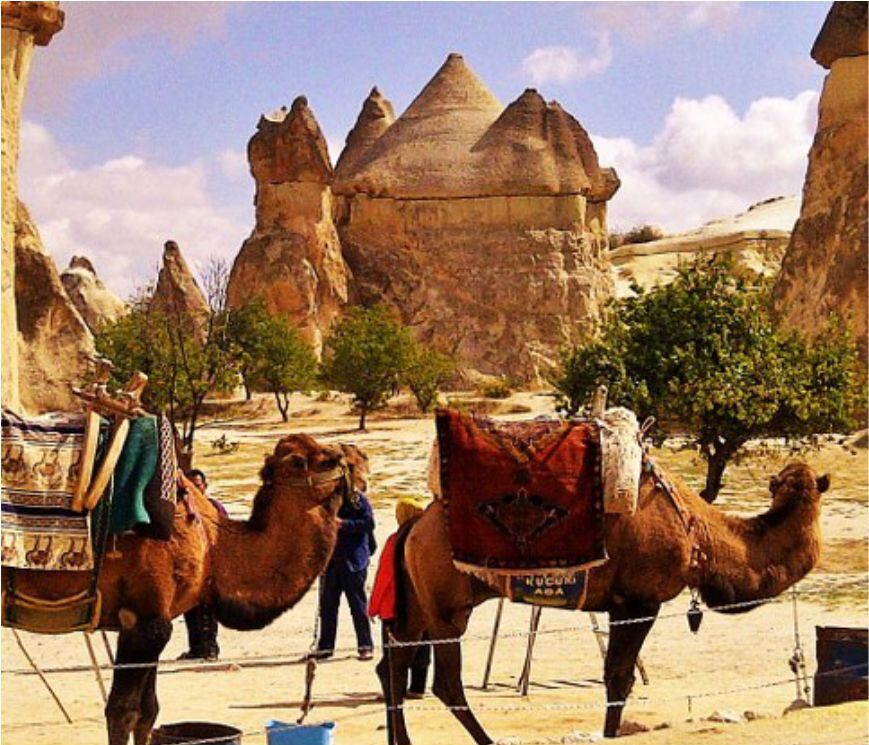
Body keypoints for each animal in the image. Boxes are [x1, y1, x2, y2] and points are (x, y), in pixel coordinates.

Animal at [2, 433, 368, 745]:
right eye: (323, 458)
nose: (359, 456)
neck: (211, 543)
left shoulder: (147, 620)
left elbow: (148, 713)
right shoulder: (145, 622)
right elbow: (122, 713)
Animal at [378, 459, 828, 742]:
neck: (699, 535)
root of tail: (414, 524)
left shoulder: (621, 606)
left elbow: (617, 678)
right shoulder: (638, 603)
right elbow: (619, 679)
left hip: (417, 602)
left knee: (392, 665)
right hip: (448, 607)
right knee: (445, 682)